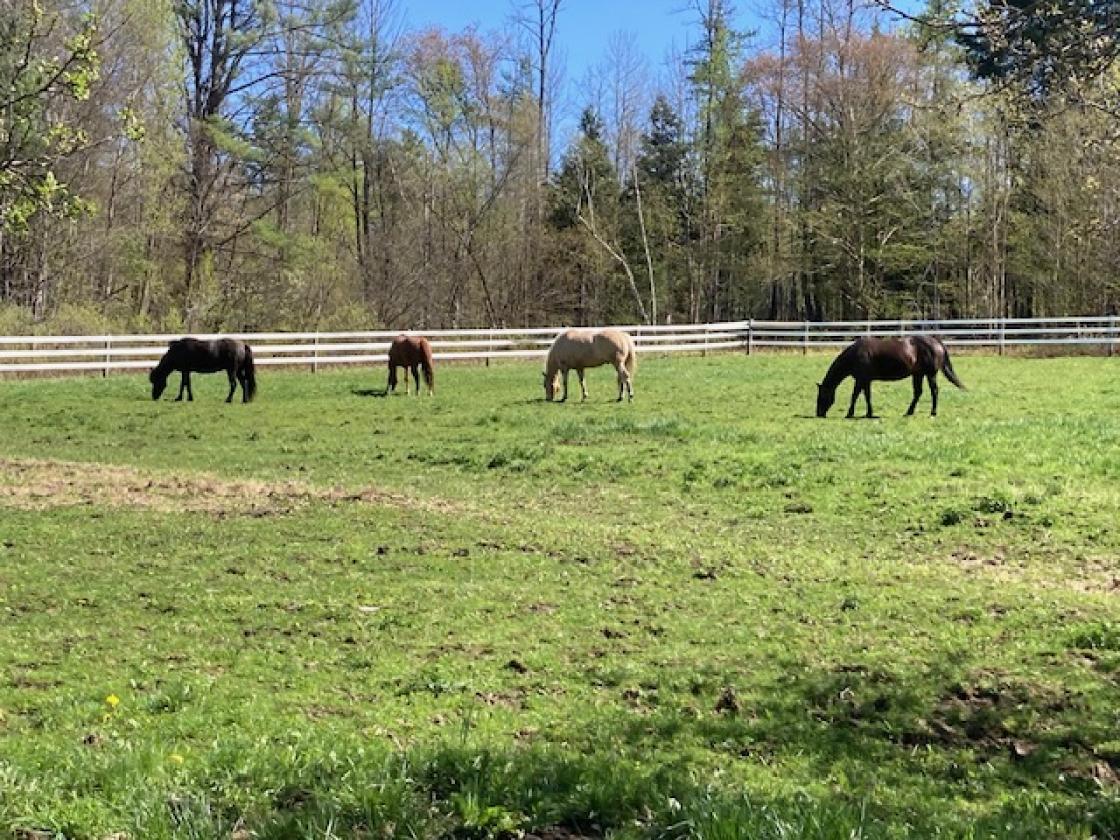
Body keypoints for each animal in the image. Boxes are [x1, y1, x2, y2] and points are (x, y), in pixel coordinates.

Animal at [816, 335, 964, 418]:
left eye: (822, 396)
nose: (819, 414)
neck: (856, 355)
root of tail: (936, 342)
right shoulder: (866, 380)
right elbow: (867, 396)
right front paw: (869, 414)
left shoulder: (861, 379)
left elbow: (855, 395)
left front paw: (849, 414)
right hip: (918, 375)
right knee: (918, 393)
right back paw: (908, 412)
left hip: (930, 374)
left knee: (934, 391)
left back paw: (933, 412)